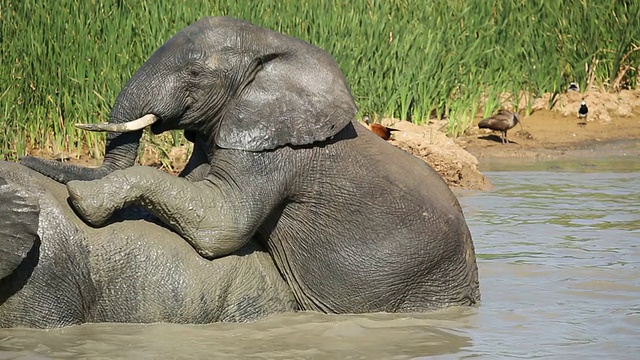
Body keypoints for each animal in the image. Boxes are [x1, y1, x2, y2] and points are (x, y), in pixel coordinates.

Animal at [21, 16, 480, 314]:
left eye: (194, 73)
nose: (27, 158)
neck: (273, 48)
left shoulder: (272, 156)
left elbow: (221, 225)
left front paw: (83, 198)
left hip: (426, 285)